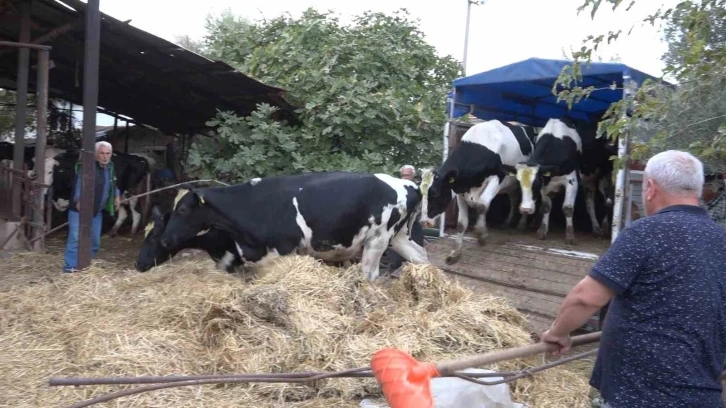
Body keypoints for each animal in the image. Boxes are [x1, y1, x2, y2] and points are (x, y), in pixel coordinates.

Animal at [156, 171, 430, 280]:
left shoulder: (283, 251)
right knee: (421, 256)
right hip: (399, 236)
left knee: (369, 274)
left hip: (378, 239)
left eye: (182, 210)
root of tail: (408, 184)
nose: (165, 240)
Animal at [418, 118, 536, 264]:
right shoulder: (460, 190)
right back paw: (508, 221)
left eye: (435, 193)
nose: (424, 222)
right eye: (421, 193)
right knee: (513, 200)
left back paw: (522, 223)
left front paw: (481, 234)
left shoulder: (497, 178)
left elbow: (482, 205)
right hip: (510, 185)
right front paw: (455, 253)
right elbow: (461, 224)